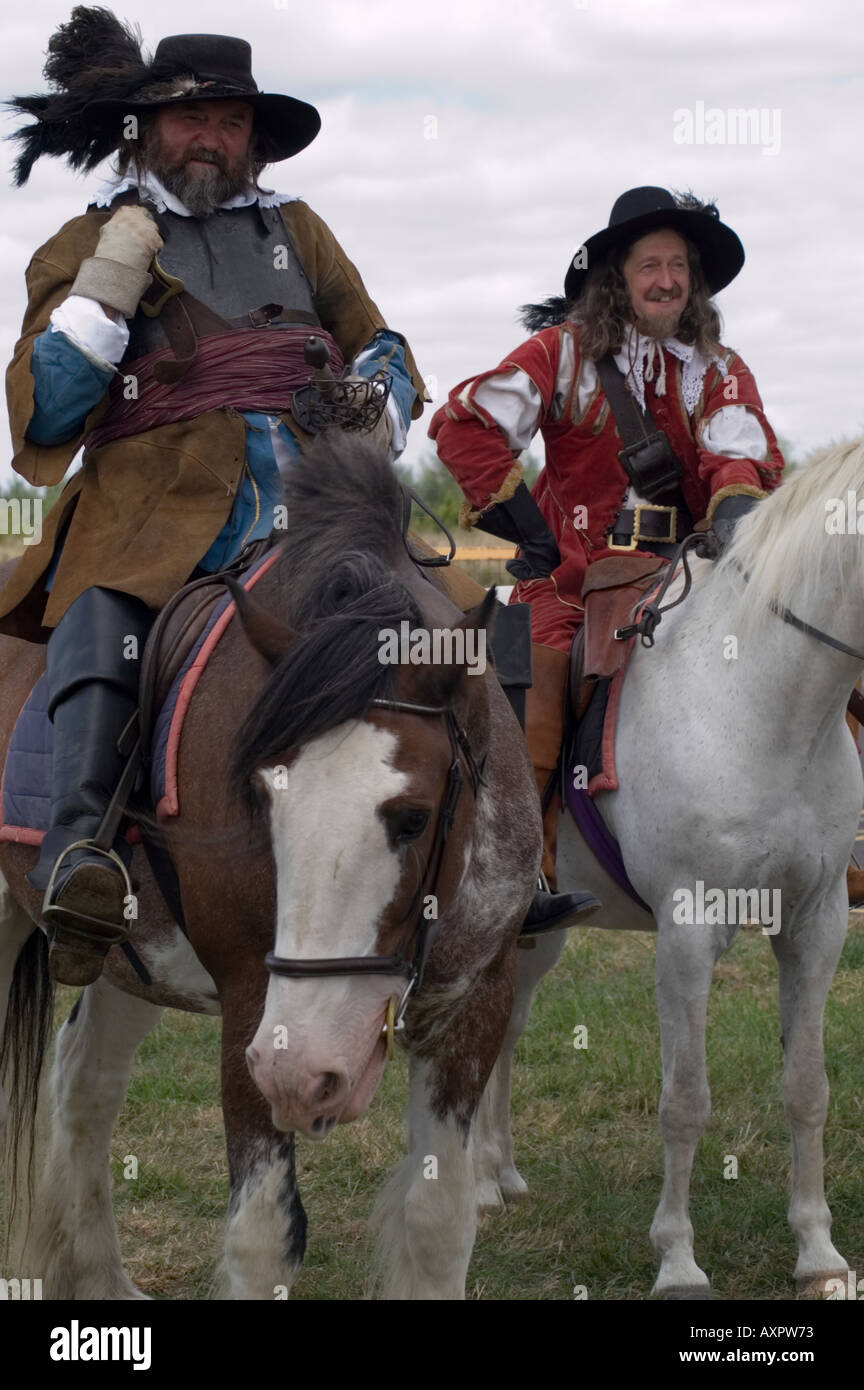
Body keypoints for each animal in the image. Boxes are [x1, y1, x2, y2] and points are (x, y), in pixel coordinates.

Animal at [0, 436, 541, 1301]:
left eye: (414, 816)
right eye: (261, 798)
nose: (306, 1072)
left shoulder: (475, 1000)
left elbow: (436, 1226)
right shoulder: (252, 1004)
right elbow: (263, 1238)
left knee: (84, 1079)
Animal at [477, 439, 861, 1295]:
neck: (763, 697)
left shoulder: (816, 921)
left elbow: (808, 1088)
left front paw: (818, 1252)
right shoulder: (687, 931)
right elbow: (685, 1100)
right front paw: (678, 1258)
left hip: (538, 931)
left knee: (503, 1030)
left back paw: (497, 1172)